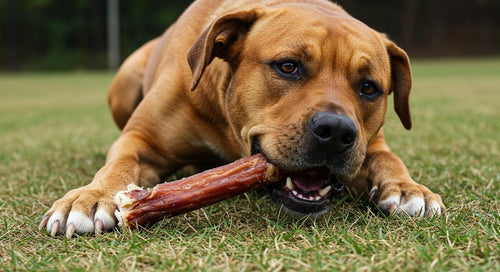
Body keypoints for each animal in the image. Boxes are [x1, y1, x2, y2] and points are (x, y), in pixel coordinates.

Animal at [39, 0, 446, 237]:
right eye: (288, 66)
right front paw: (91, 198)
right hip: (123, 82)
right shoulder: (142, 138)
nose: (335, 131)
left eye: (368, 88)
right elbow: (119, 164)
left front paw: (409, 189)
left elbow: (388, 158)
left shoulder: (369, 144)